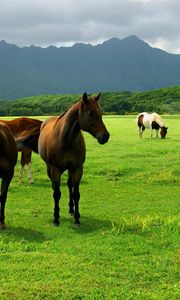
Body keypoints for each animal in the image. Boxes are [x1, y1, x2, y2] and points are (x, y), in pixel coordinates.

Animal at [17, 92, 109, 226]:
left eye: (101, 112)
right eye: (91, 113)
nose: (105, 136)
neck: (66, 140)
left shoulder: (77, 169)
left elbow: (76, 193)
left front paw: (77, 218)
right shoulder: (55, 169)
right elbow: (57, 193)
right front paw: (56, 218)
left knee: (69, 185)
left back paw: (71, 209)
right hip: (50, 168)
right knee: (55, 187)